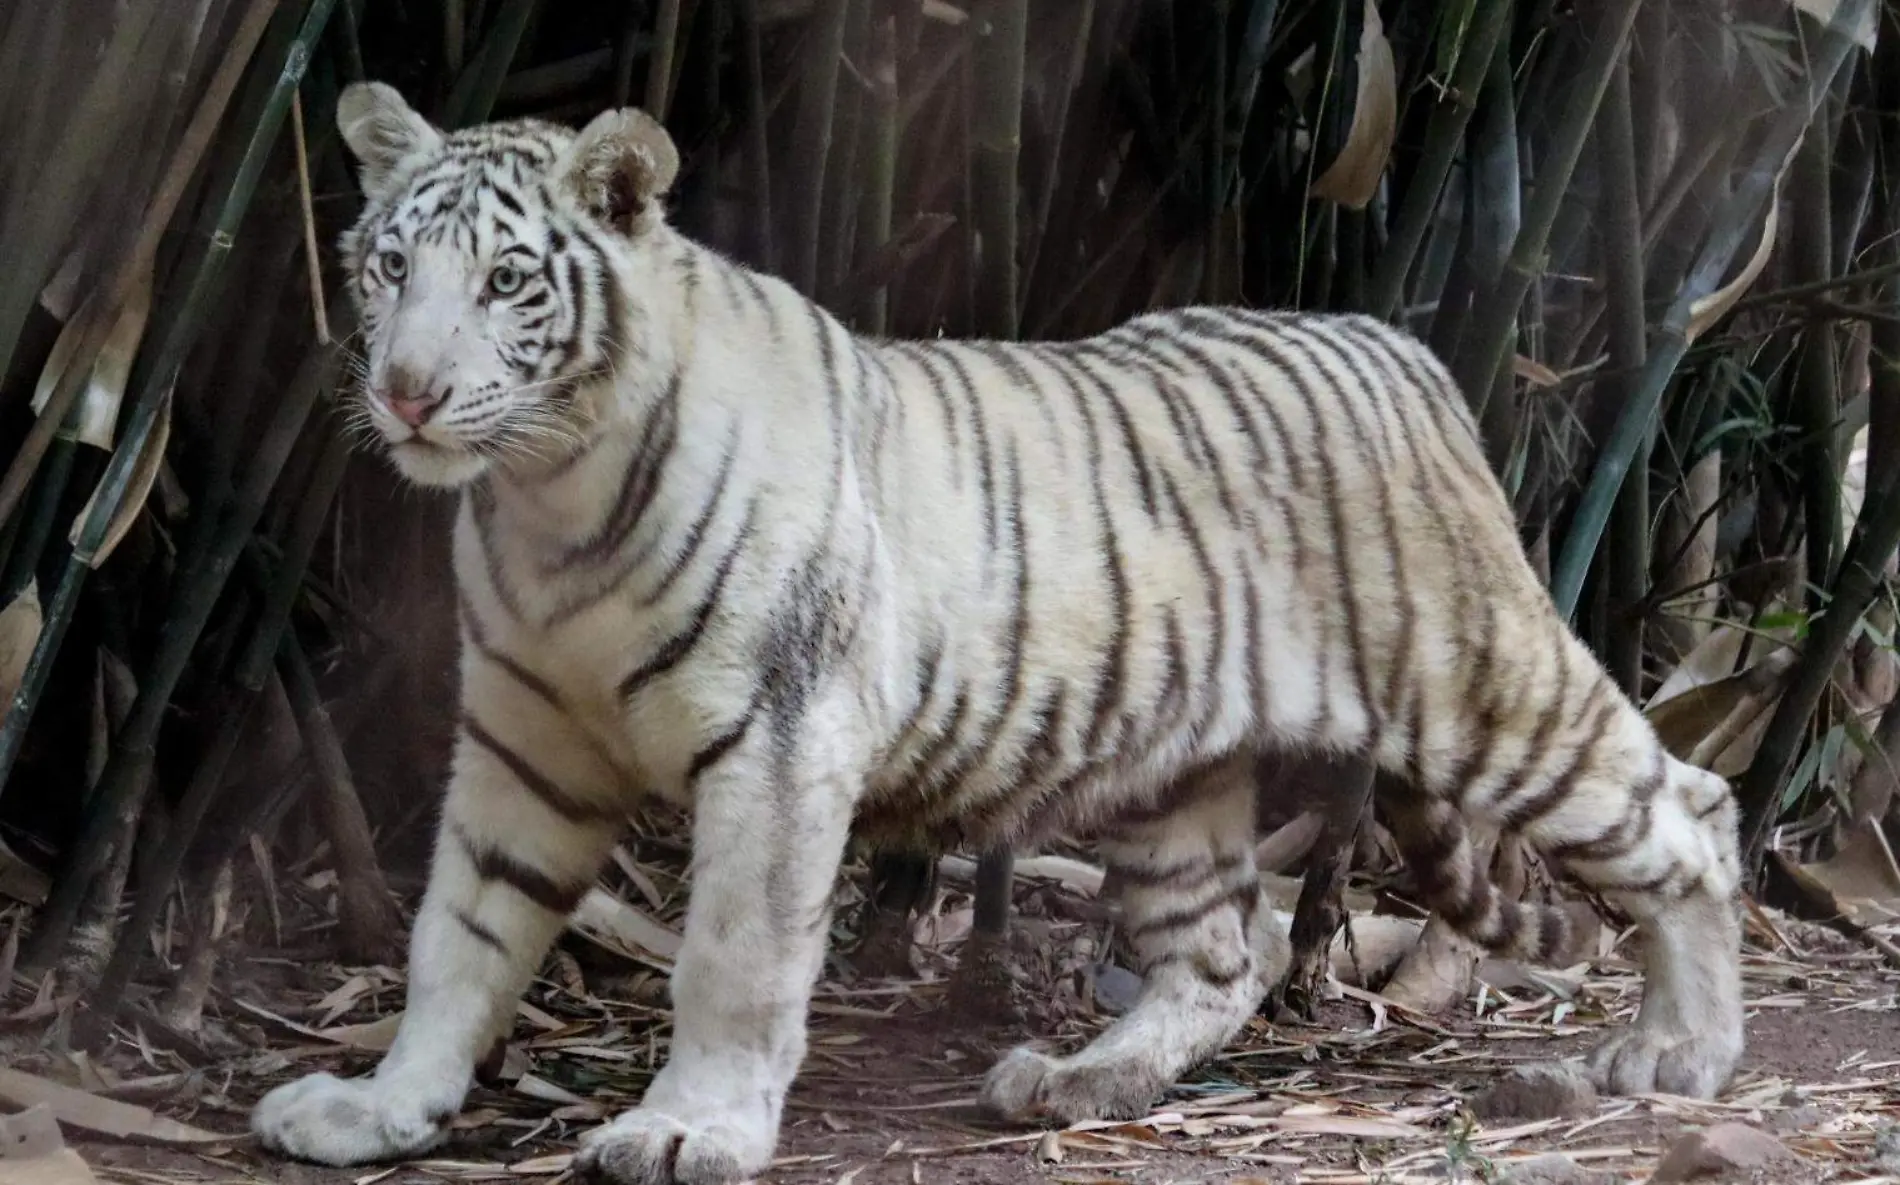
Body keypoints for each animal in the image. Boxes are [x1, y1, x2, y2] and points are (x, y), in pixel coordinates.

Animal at [256, 83, 1748, 1185]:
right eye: (389, 266)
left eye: (510, 280)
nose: (405, 391)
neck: (545, 500)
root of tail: (1401, 346)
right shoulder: (522, 742)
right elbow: (458, 935)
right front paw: (381, 1109)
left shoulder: (779, 741)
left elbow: (733, 957)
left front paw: (690, 1130)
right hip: (1169, 770)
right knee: (1229, 952)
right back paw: (1080, 1078)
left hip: (1488, 688)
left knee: (1690, 810)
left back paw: (1682, 1054)